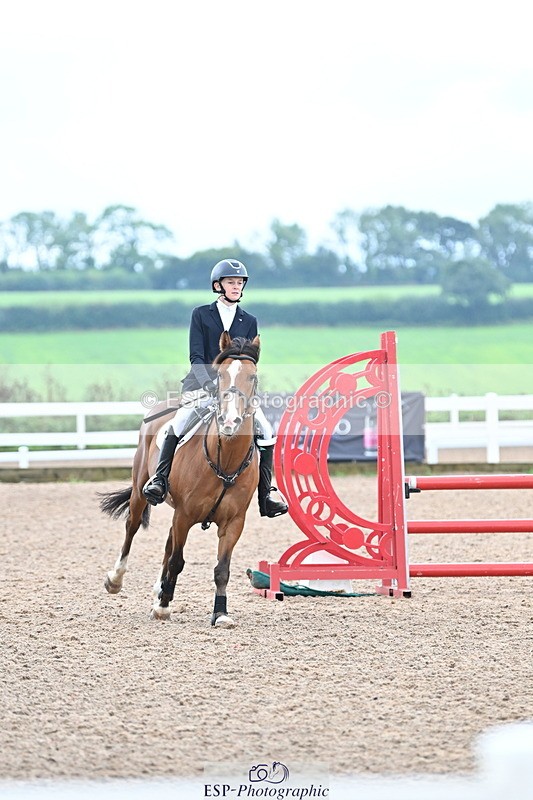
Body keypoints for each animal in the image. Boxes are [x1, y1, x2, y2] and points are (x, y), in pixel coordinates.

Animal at [99, 332, 260, 627]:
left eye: (252, 377)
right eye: (219, 375)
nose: (229, 421)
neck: (226, 460)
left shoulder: (234, 522)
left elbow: (222, 569)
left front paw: (220, 613)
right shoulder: (185, 514)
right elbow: (177, 561)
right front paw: (163, 607)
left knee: (167, 543)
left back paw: (160, 590)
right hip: (141, 491)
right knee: (132, 526)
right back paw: (116, 580)